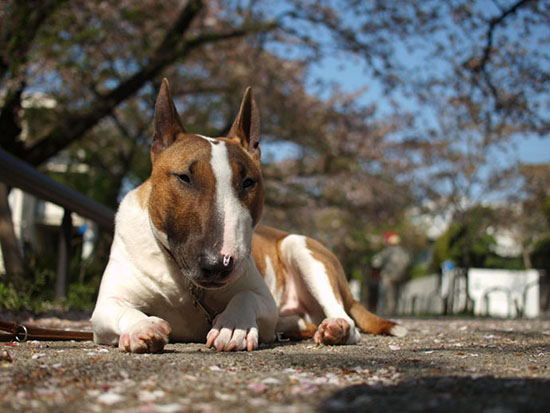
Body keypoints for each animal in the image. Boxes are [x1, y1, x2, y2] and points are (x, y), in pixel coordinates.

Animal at [92, 79, 408, 352]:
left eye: (248, 182)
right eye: (184, 177)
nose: (218, 265)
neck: (185, 285)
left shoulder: (264, 299)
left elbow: (245, 297)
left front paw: (234, 327)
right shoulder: (105, 306)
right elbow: (117, 309)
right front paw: (141, 328)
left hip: (300, 247)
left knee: (347, 320)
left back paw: (336, 328)